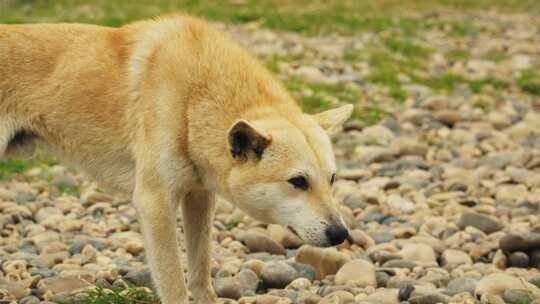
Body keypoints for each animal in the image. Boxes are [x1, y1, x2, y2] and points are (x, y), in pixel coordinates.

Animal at [0, 14, 352, 304]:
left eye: (332, 179)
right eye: (298, 181)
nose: (341, 235)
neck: (193, 97)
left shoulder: (199, 197)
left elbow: (199, 272)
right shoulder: (155, 203)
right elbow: (174, 283)